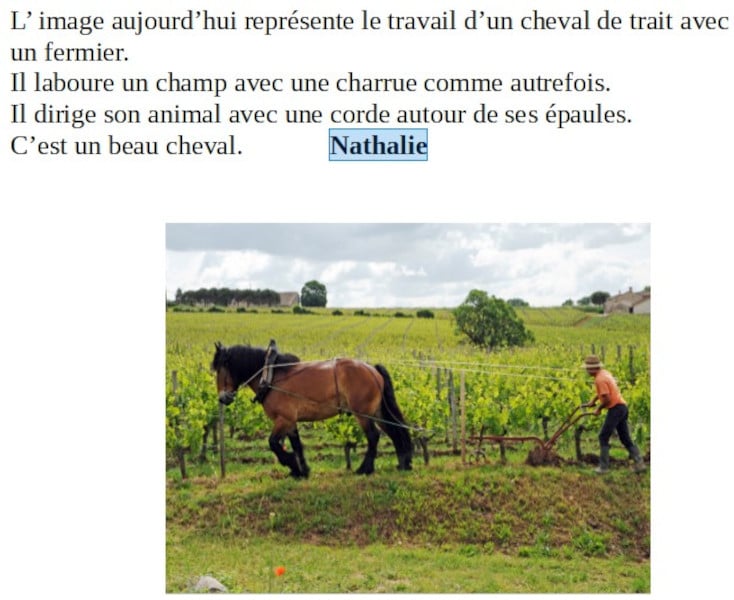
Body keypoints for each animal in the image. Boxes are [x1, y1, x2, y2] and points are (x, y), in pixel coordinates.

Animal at [211, 342, 413, 477]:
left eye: (220, 370)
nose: (222, 398)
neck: (271, 376)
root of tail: (372, 369)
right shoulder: (291, 421)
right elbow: (296, 445)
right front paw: (302, 471)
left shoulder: (283, 419)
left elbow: (273, 443)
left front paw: (291, 464)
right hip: (377, 411)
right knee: (395, 431)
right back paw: (403, 463)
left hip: (362, 413)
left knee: (373, 436)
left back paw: (365, 469)